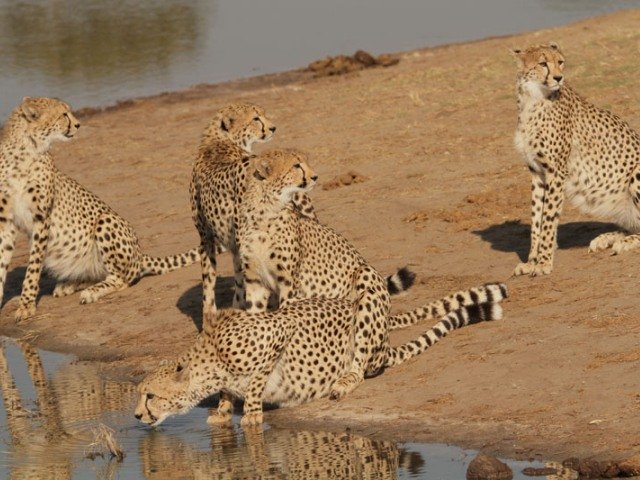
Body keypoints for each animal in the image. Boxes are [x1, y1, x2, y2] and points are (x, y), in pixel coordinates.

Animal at [0, 97, 198, 320]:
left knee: (122, 279)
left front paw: (26, 305)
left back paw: (91, 292)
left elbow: (32, 268)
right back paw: (70, 285)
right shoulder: (6, 221)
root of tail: (140, 255)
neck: (24, 151)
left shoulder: (42, 219)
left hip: (105, 221)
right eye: (63, 114)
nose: (78, 125)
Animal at [134, 278, 504, 428]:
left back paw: (342, 383)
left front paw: (250, 413)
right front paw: (223, 410)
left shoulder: (278, 334)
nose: (136, 416)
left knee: (359, 367)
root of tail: (385, 347)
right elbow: (229, 392)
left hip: (364, 304)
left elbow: (255, 383)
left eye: (150, 395)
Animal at [512, 44, 640, 278]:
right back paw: (606, 239)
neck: (533, 98)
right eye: (542, 63)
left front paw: (543, 262)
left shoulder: (556, 172)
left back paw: (623, 242)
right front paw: (531, 261)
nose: (558, 77)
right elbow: (536, 219)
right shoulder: (537, 172)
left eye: (560, 62)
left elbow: (548, 220)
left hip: (636, 173)